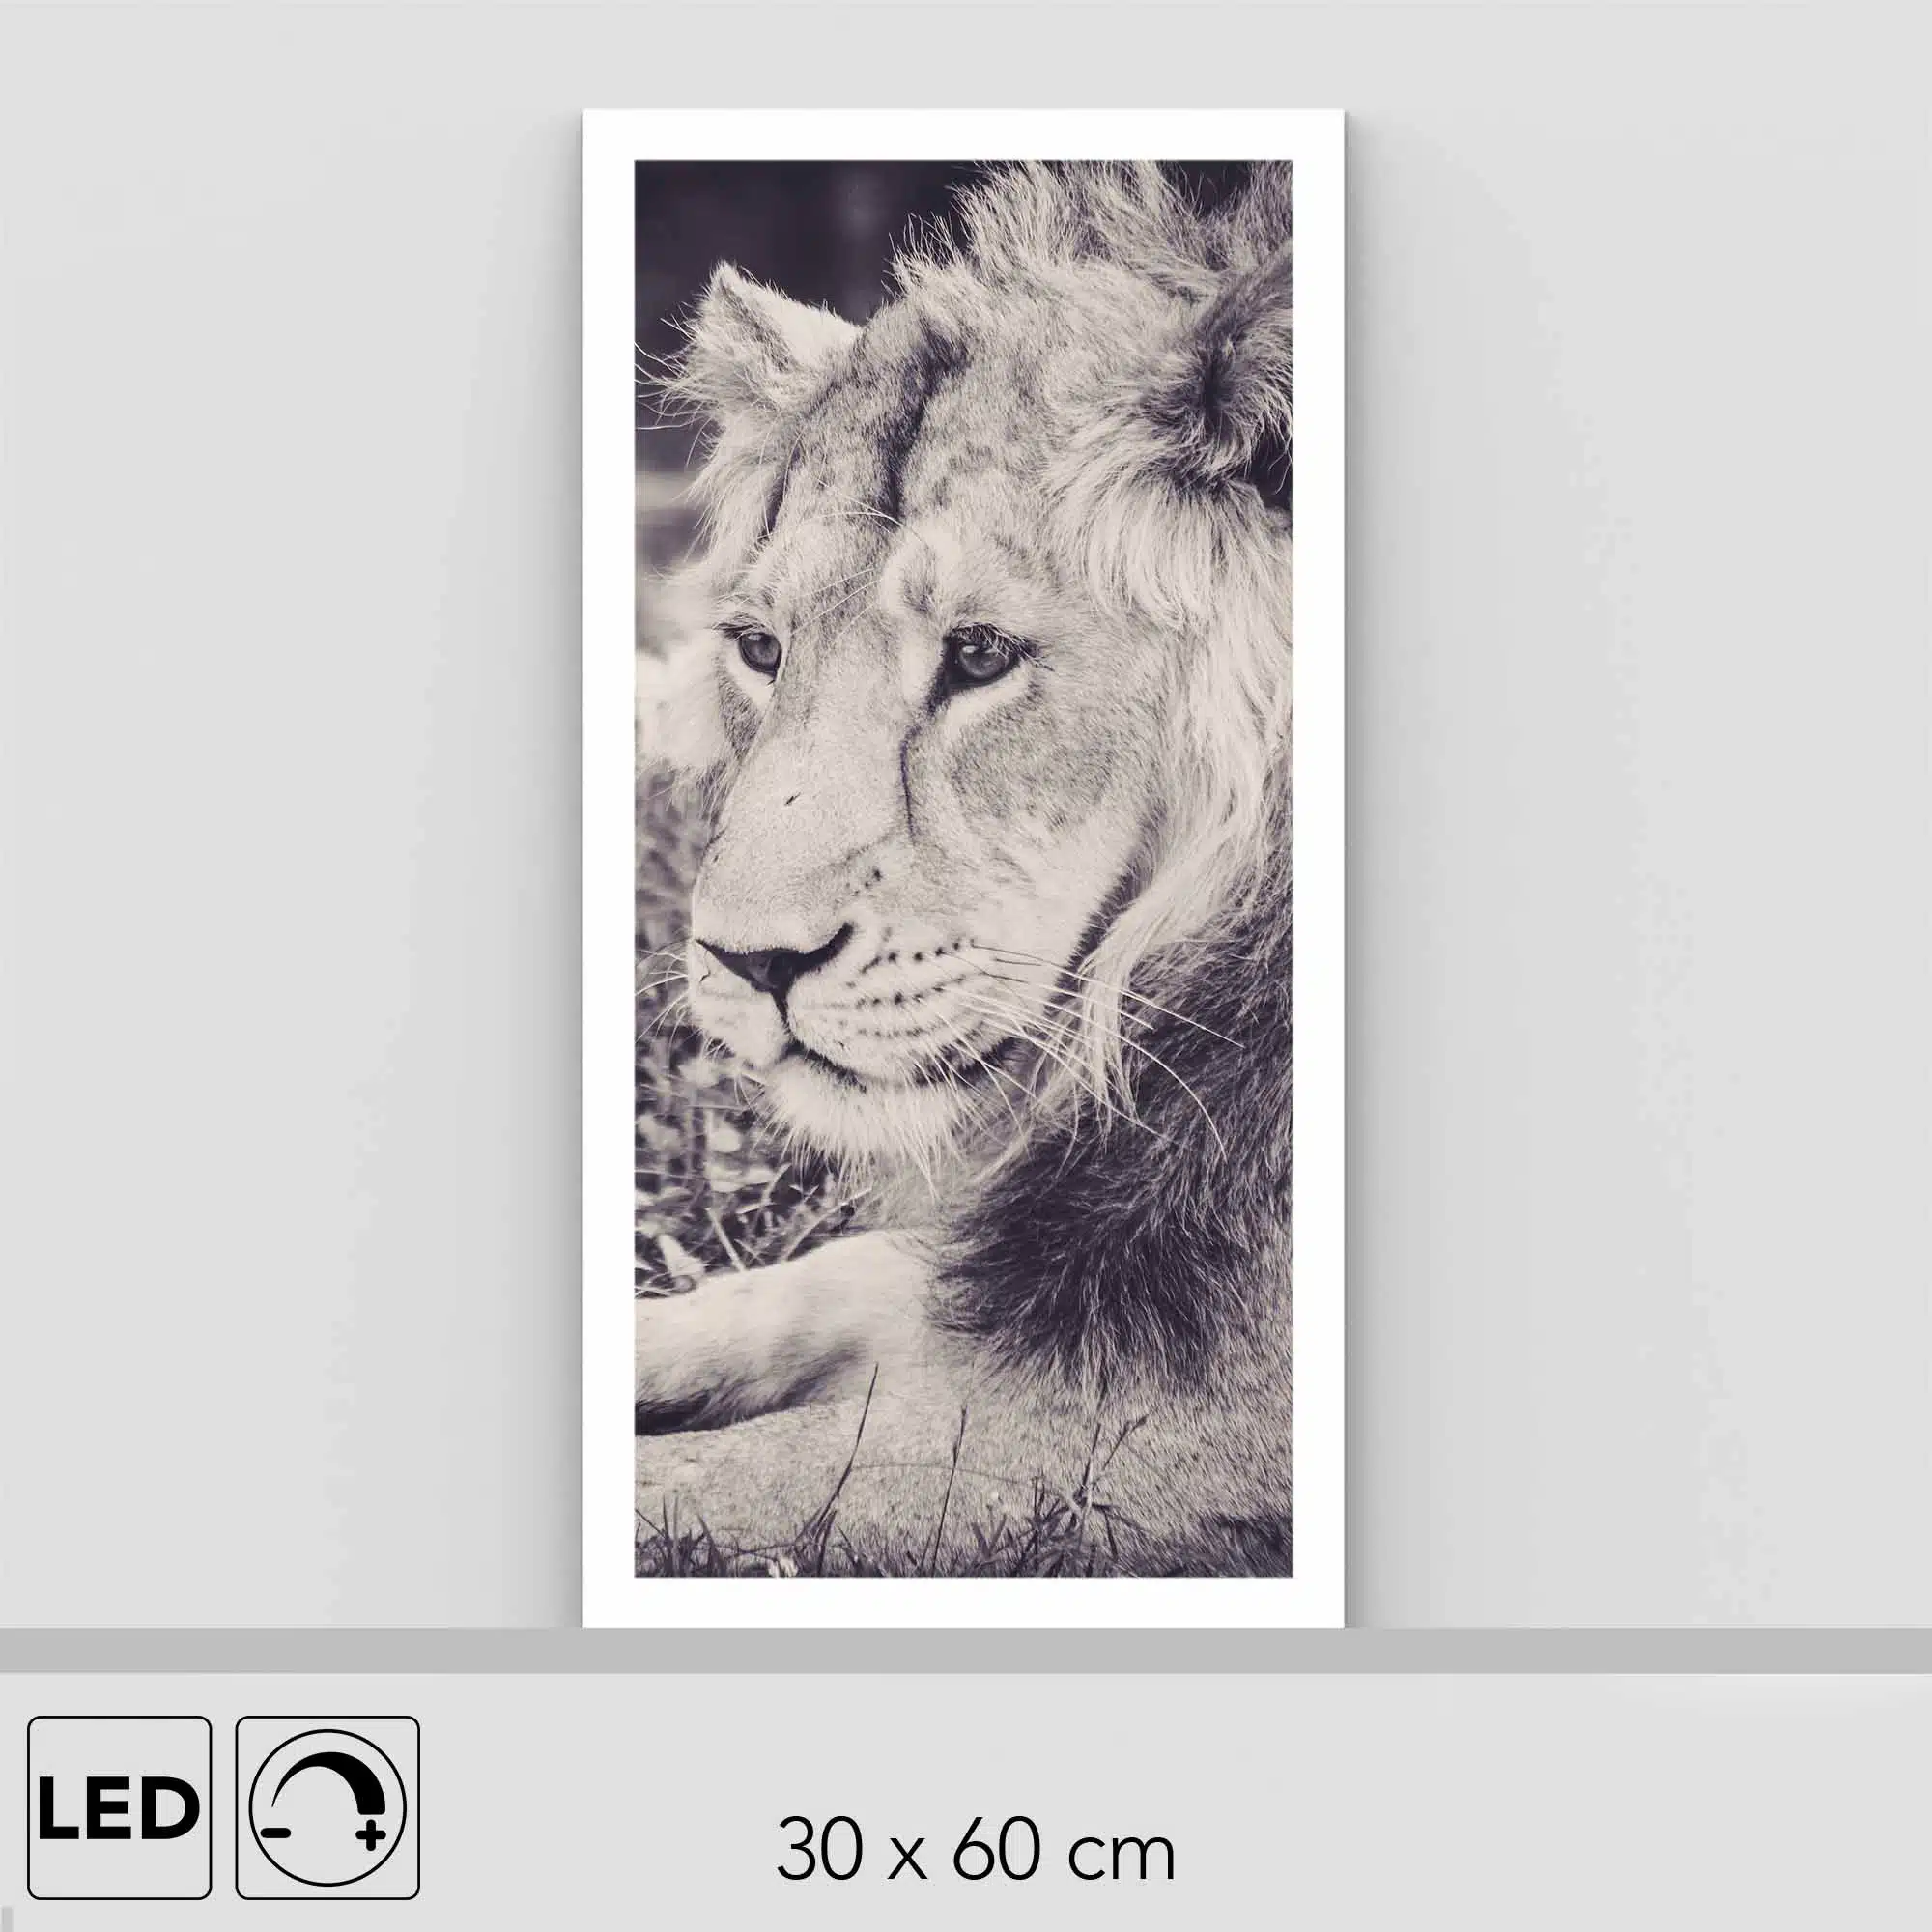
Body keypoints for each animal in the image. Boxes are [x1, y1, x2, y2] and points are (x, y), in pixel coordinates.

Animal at [635, 162, 1295, 1576]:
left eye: (981, 655)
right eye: (761, 649)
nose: (748, 964)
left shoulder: (1156, 1440)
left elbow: (731, 1484)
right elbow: (817, 1282)